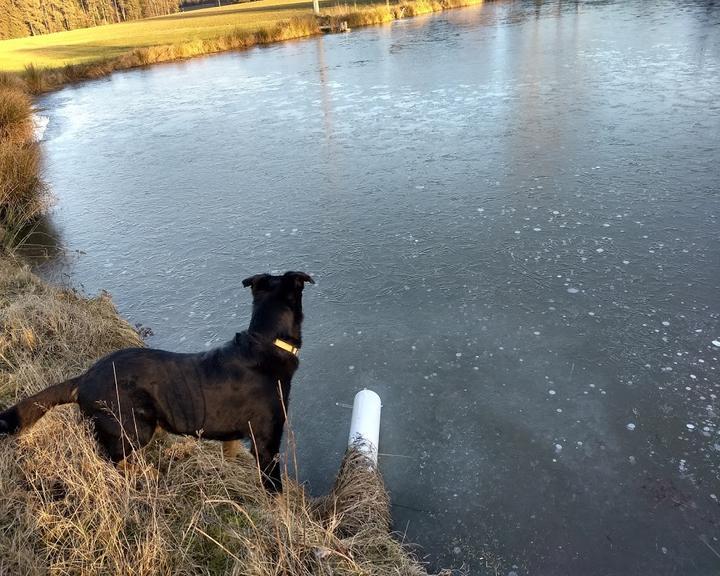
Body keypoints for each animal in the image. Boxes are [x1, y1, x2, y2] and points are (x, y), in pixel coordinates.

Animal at [0, 270, 316, 490]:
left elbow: (231, 455)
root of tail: (85, 377)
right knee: (110, 461)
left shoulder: (233, 438)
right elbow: (274, 491)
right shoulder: (267, 443)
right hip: (133, 429)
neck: (265, 342)